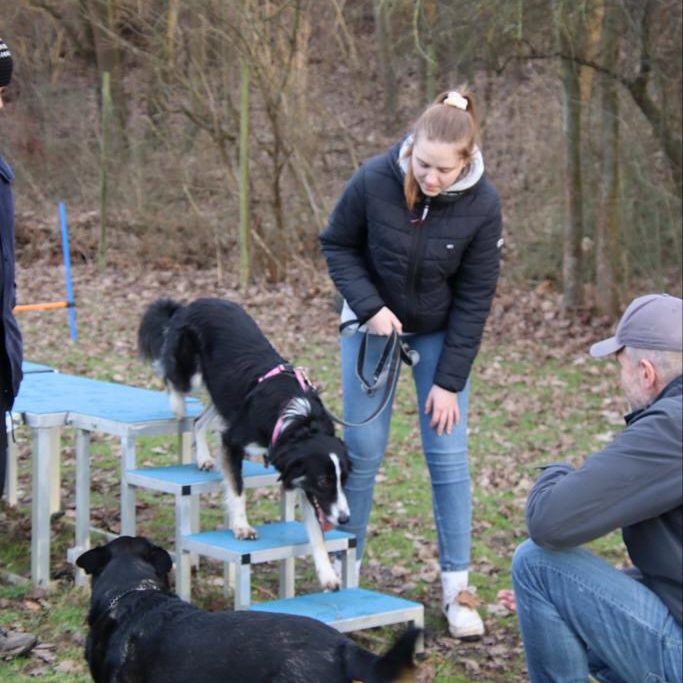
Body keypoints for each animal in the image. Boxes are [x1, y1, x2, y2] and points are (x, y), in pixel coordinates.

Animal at [140, 296, 352, 592]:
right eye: (324, 481)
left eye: (343, 479)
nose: (345, 519)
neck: (299, 421)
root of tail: (191, 303)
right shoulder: (233, 441)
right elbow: (237, 488)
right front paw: (242, 526)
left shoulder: (302, 479)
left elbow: (317, 531)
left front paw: (328, 574)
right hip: (192, 372)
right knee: (171, 378)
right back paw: (177, 405)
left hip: (225, 395)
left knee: (199, 421)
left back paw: (203, 456)